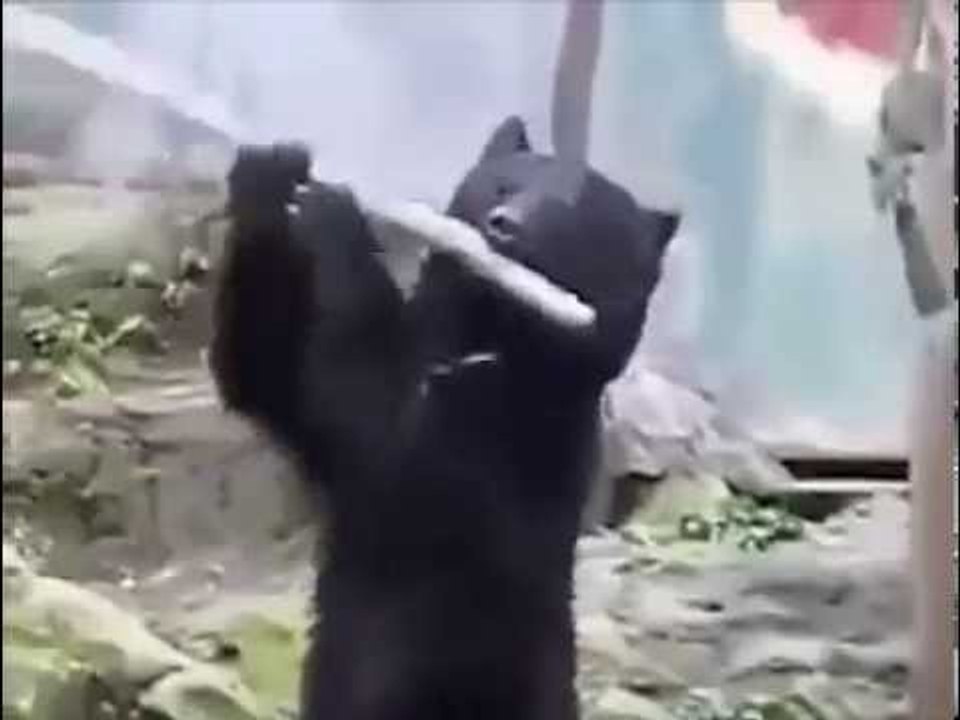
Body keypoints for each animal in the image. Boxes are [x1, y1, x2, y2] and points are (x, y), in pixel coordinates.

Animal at [210, 116, 679, 720]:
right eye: (502, 185)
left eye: (569, 212)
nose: (504, 226)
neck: (492, 325)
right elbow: (270, 376)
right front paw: (272, 175)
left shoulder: (506, 434)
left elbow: (393, 438)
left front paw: (336, 213)